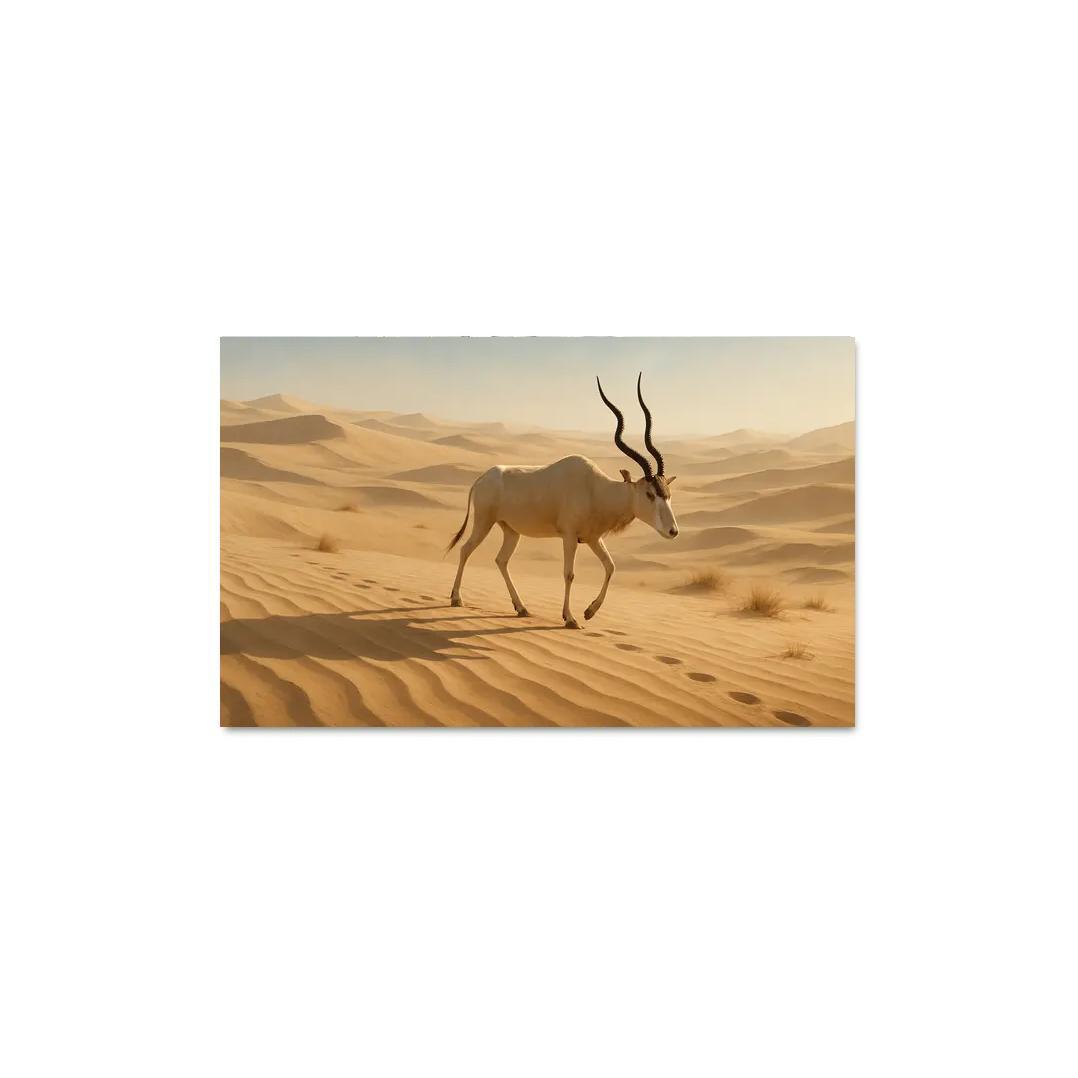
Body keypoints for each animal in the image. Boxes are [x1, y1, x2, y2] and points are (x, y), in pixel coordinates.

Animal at [447, 374, 678, 628]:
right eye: (650, 493)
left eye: (668, 493)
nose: (673, 531)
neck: (596, 489)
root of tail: (482, 478)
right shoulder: (569, 536)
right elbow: (569, 574)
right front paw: (570, 618)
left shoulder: (592, 538)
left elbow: (611, 566)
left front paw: (589, 611)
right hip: (483, 522)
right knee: (465, 549)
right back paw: (456, 598)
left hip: (511, 531)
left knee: (501, 560)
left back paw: (521, 608)